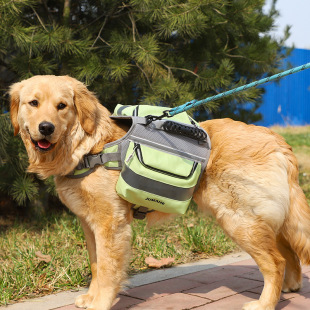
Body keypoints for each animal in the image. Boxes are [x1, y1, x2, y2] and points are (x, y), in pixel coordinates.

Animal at [8, 75, 310, 310]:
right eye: (33, 103)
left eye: (62, 106)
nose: (46, 128)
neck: (87, 147)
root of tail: (277, 140)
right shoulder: (89, 224)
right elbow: (96, 264)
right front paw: (91, 297)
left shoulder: (111, 225)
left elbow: (107, 269)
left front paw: (100, 302)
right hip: (263, 219)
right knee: (287, 253)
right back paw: (290, 287)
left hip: (239, 220)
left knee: (276, 261)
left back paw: (265, 303)